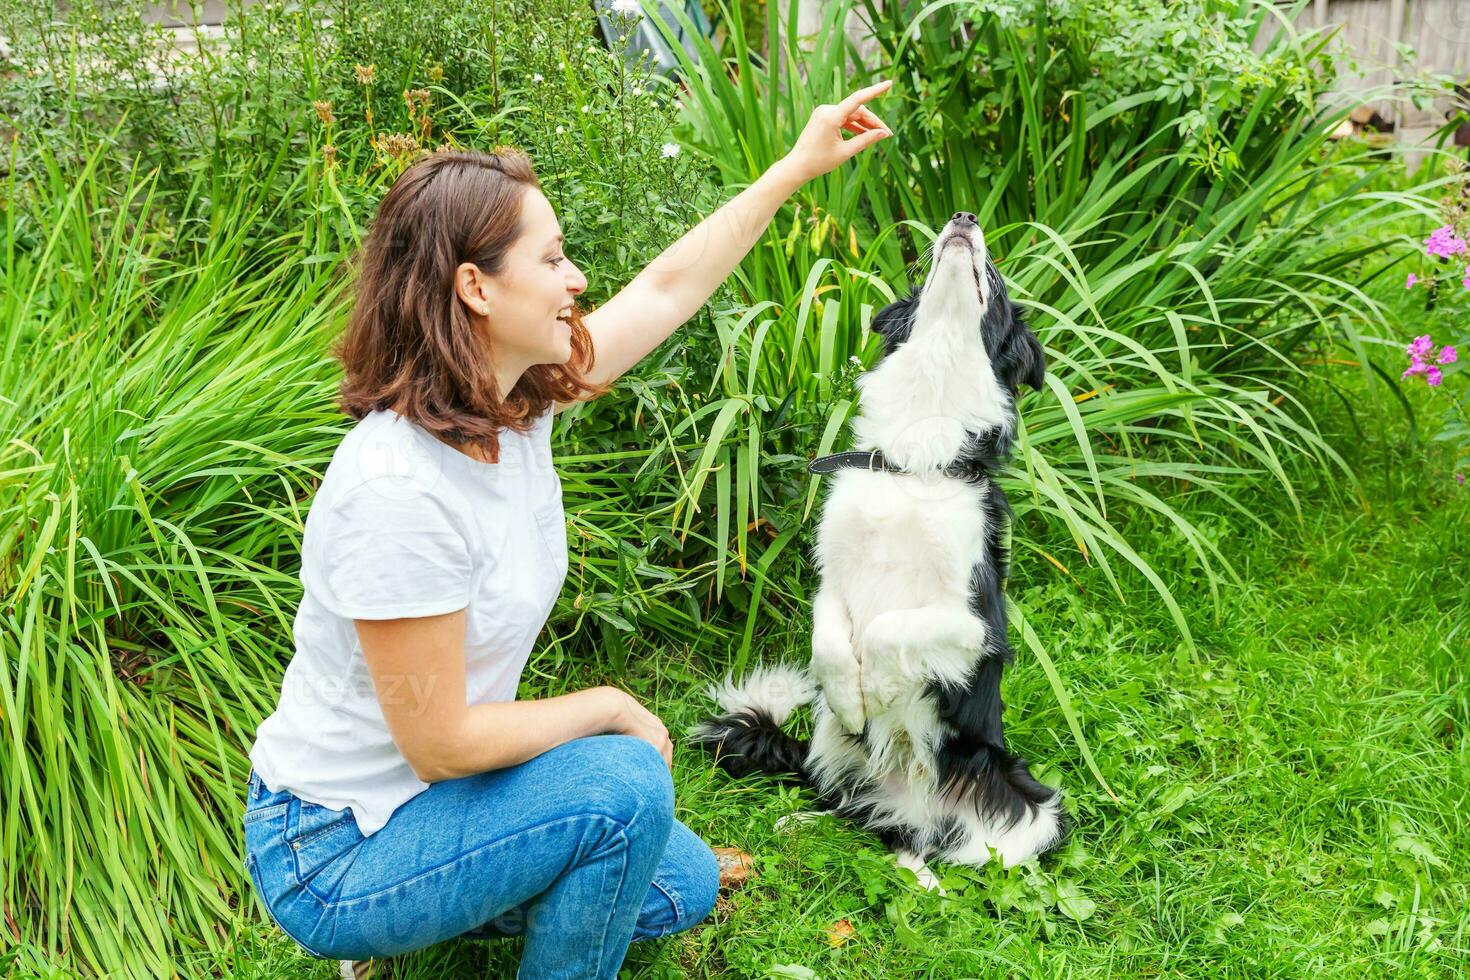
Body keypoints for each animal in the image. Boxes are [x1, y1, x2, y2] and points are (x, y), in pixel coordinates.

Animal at [687, 211, 1070, 887]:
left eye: (995, 287)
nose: (964, 218)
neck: (917, 462)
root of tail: (906, 801)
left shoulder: (976, 623)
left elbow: (889, 629)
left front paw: (885, 689)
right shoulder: (833, 579)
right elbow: (832, 641)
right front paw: (853, 698)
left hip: (1031, 808)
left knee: (940, 842)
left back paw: (926, 877)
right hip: (827, 745)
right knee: (852, 808)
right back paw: (804, 823)